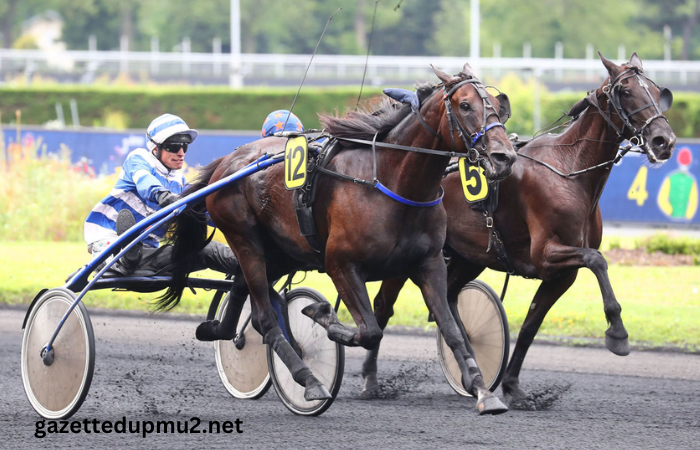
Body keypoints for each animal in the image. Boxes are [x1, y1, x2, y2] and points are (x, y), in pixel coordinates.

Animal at [160, 64, 520, 414]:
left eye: (497, 107)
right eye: (465, 105)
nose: (504, 157)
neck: (391, 182)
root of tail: (227, 162)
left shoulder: (429, 263)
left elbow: (452, 330)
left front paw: (483, 390)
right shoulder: (340, 263)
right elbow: (370, 330)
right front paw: (323, 316)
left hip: (282, 251)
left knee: (241, 286)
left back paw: (218, 330)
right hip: (245, 239)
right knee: (264, 318)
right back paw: (308, 381)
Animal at [364, 51, 676, 404]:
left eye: (656, 90)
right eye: (626, 91)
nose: (663, 141)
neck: (570, 171)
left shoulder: (562, 274)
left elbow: (530, 325)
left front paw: (513, 385)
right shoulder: (546, 254)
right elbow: (597, 260)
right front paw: (618, 333)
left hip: (468, 257)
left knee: (450, 296)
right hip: (410, 256)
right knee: (384, 305)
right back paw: (371, 379)